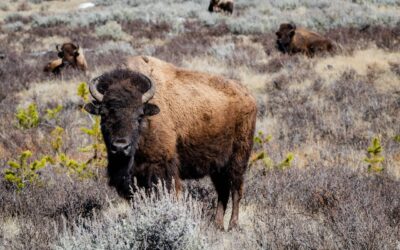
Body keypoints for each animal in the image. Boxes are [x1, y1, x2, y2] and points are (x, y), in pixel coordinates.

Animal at [85, 55, 258, 229]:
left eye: (139, 115)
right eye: (104, 114)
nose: (120, 147)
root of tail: (249, 97)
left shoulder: (161, 168)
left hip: (238, 159)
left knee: (236, 190)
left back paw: (233, 225)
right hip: (217, 166)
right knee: (223, 191)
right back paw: (217, 225)